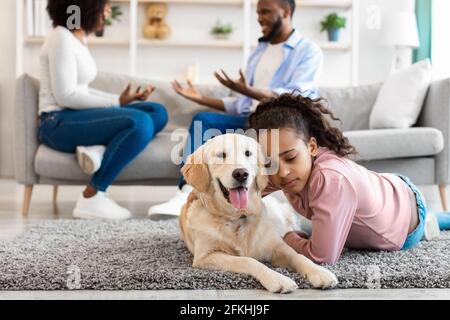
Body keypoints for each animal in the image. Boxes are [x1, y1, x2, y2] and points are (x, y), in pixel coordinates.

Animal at [179, 132, 338, 292]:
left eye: (248, 153)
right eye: (221, 155)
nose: (241, 173)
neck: (237, 218)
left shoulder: (276, 246)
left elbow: (298, 256)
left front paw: (319, 272)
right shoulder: (206, 256)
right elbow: (248, 260)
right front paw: (277, 278)